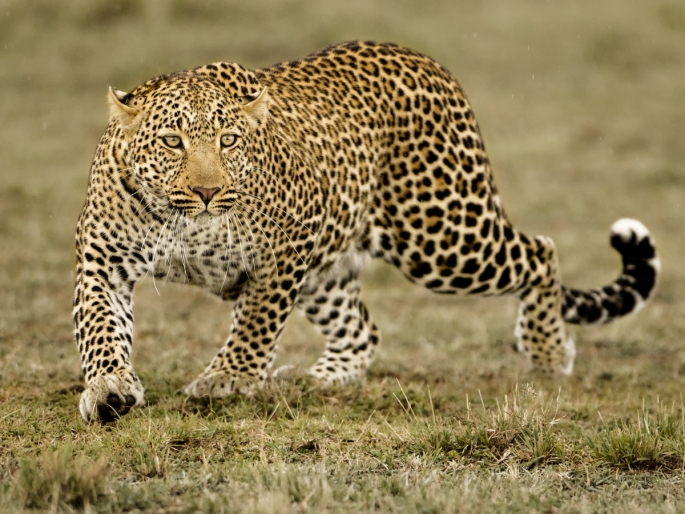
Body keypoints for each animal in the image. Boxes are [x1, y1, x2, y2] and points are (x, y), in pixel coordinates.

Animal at [73, 41, 660, 422]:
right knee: (362, 330)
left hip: (442, 235)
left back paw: (548, 352)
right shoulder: (102, 261)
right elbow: (101, 329)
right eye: (172, 142)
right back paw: (315, 379)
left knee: (541, 251)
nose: (207, 192)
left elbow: (256, 322)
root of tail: (425, 60)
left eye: (230, 141)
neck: (184, 224)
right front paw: (109, 388)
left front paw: (228, 378)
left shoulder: (287, 246)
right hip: (334, 268)